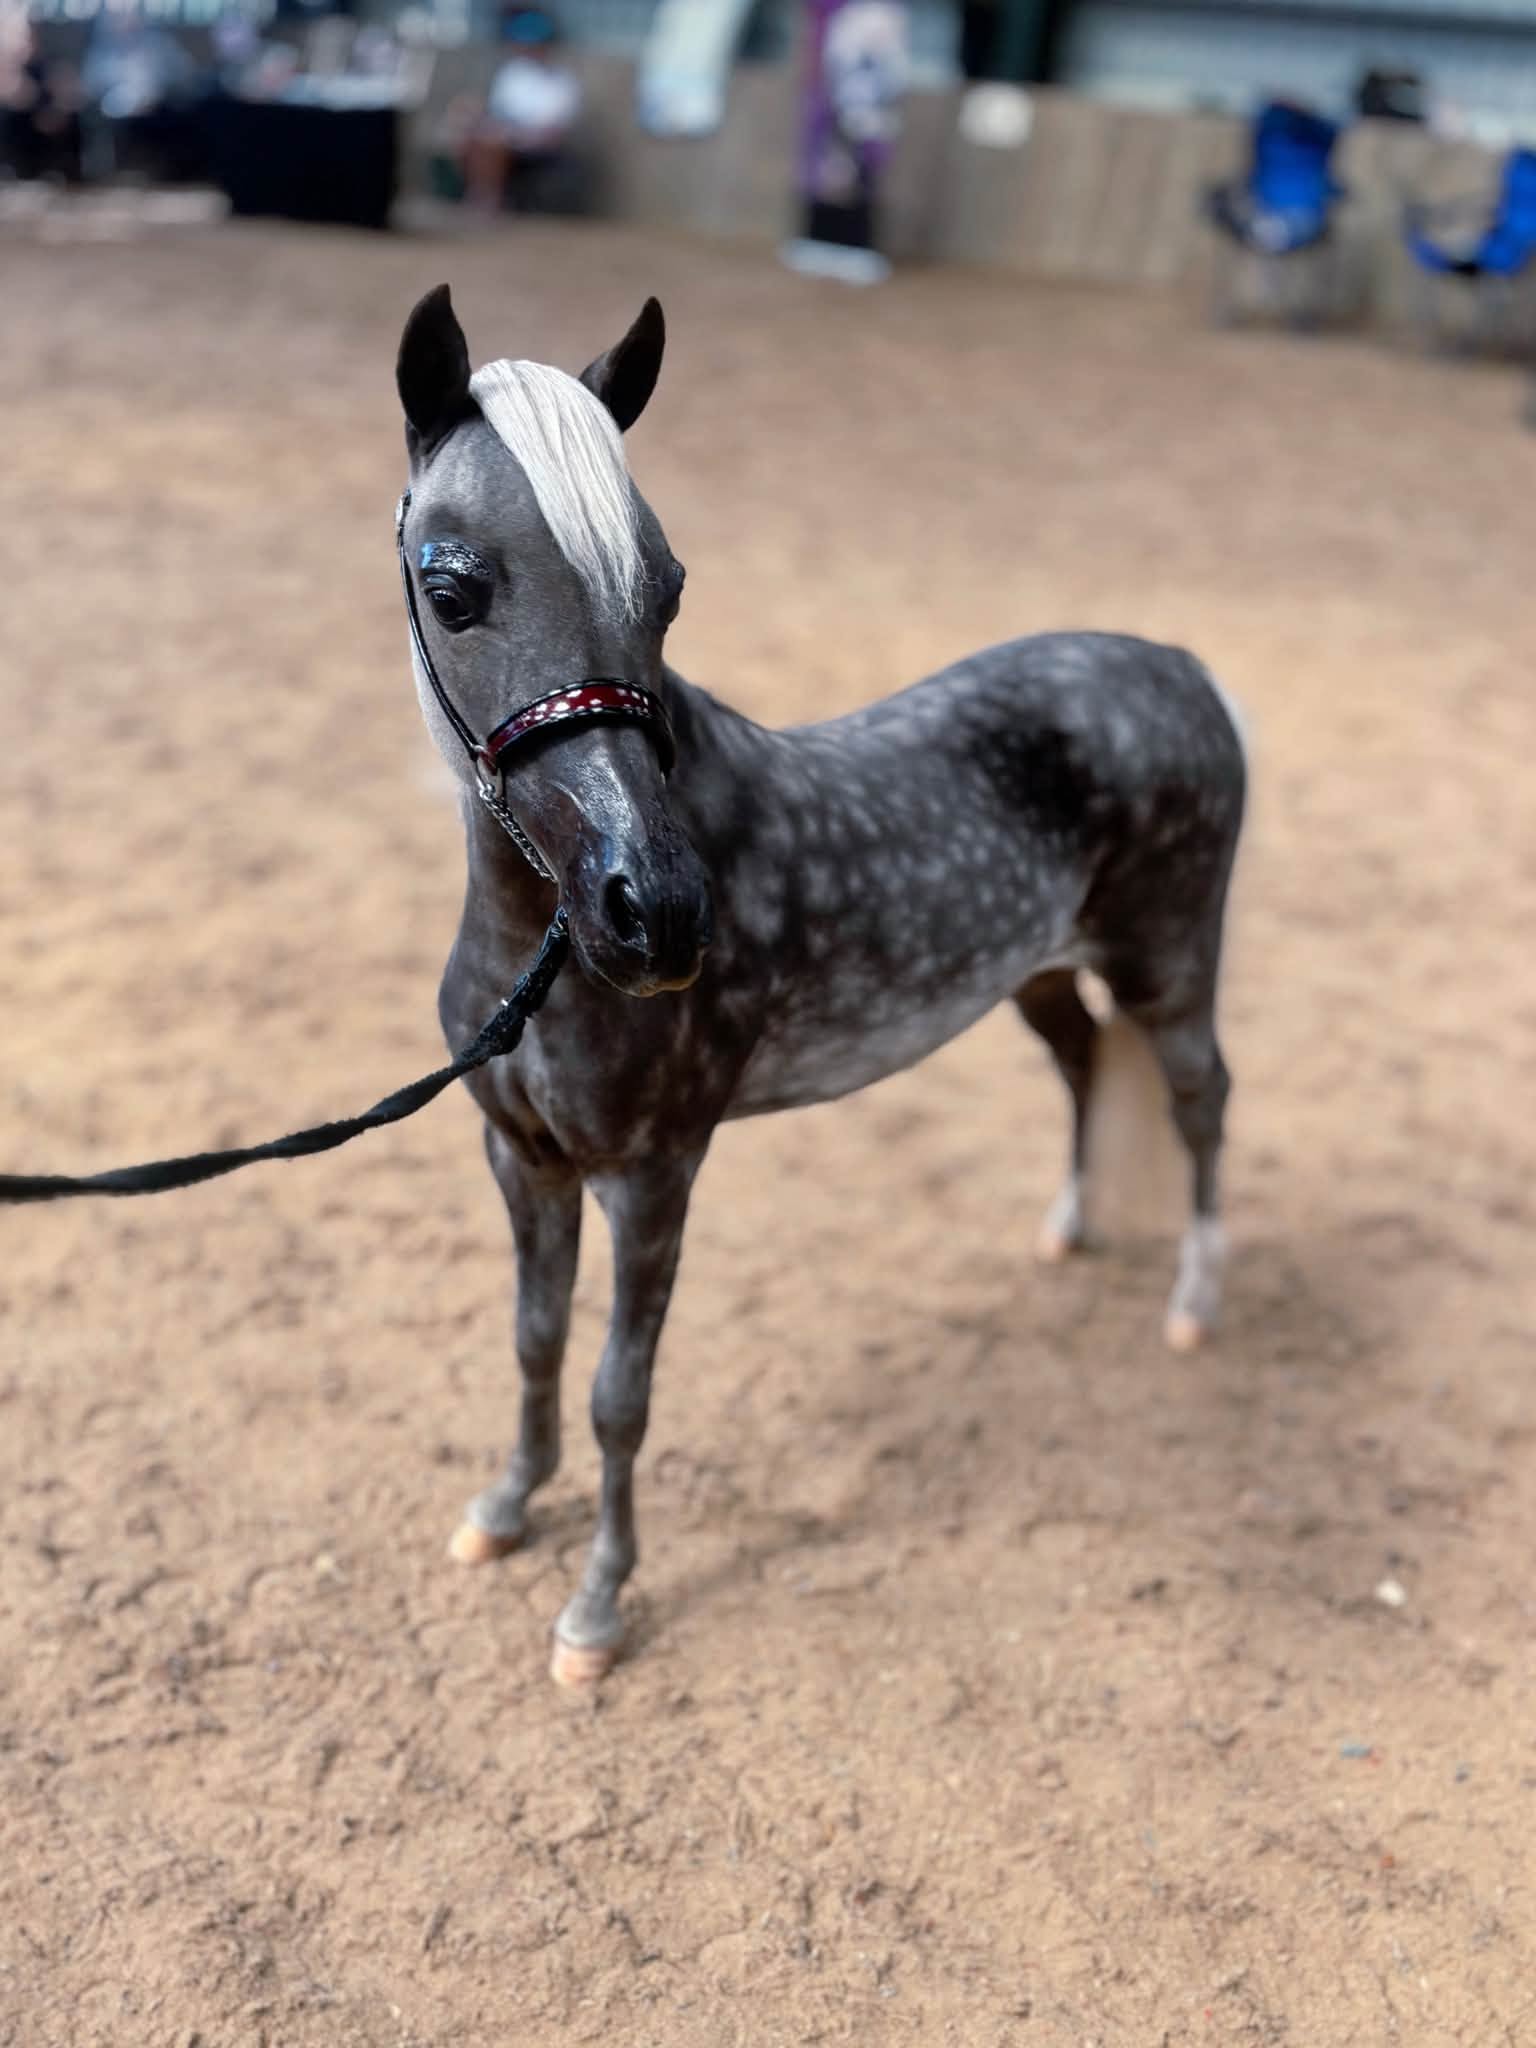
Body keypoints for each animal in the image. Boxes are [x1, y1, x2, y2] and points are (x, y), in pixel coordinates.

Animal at [395, 284, 1247, 1686]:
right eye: (449, 585)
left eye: (668, 586)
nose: (657, 914)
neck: (543, 945)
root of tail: (1181, 664)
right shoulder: (520, 1156)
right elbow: (534, 1339)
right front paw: (503, 1510)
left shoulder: (653, 1172)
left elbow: (620, 1391)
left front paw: (595, 1610)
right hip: (1036, 974)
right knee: (1082, 1065)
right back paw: (1067, 1230)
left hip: (1169, 971)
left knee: (1201, 1101)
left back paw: (1191, 1308)